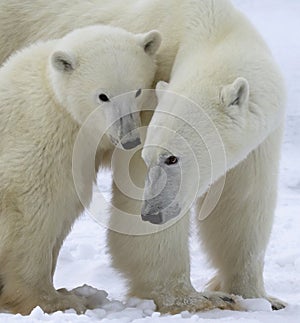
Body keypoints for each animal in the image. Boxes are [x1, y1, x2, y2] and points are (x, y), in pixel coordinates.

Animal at [0, 0, 284, 316]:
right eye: (154, 157)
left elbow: (242, 204)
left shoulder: (259, 138)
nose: (152, 213)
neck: (211, 28)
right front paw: (197, 299)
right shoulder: (147, 110)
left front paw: (261, 298)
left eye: (172, 158)